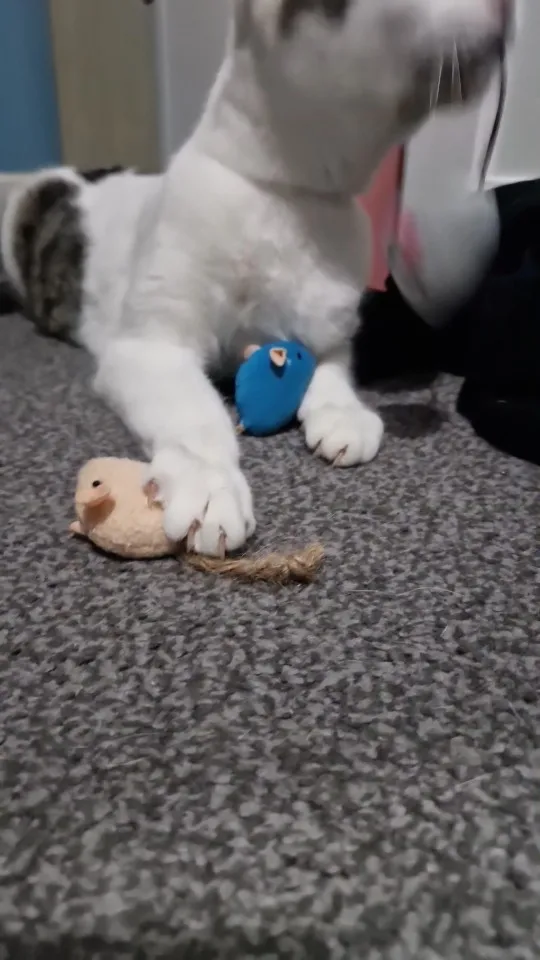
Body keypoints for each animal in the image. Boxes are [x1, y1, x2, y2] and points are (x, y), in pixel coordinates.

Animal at [2, 0, 511, 556]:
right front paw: (208, 484)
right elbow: (197, 414)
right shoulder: (151, 347)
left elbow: (333, 367)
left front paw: (342, 411)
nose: (508, 7)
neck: (291, 195)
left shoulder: (327, 329)